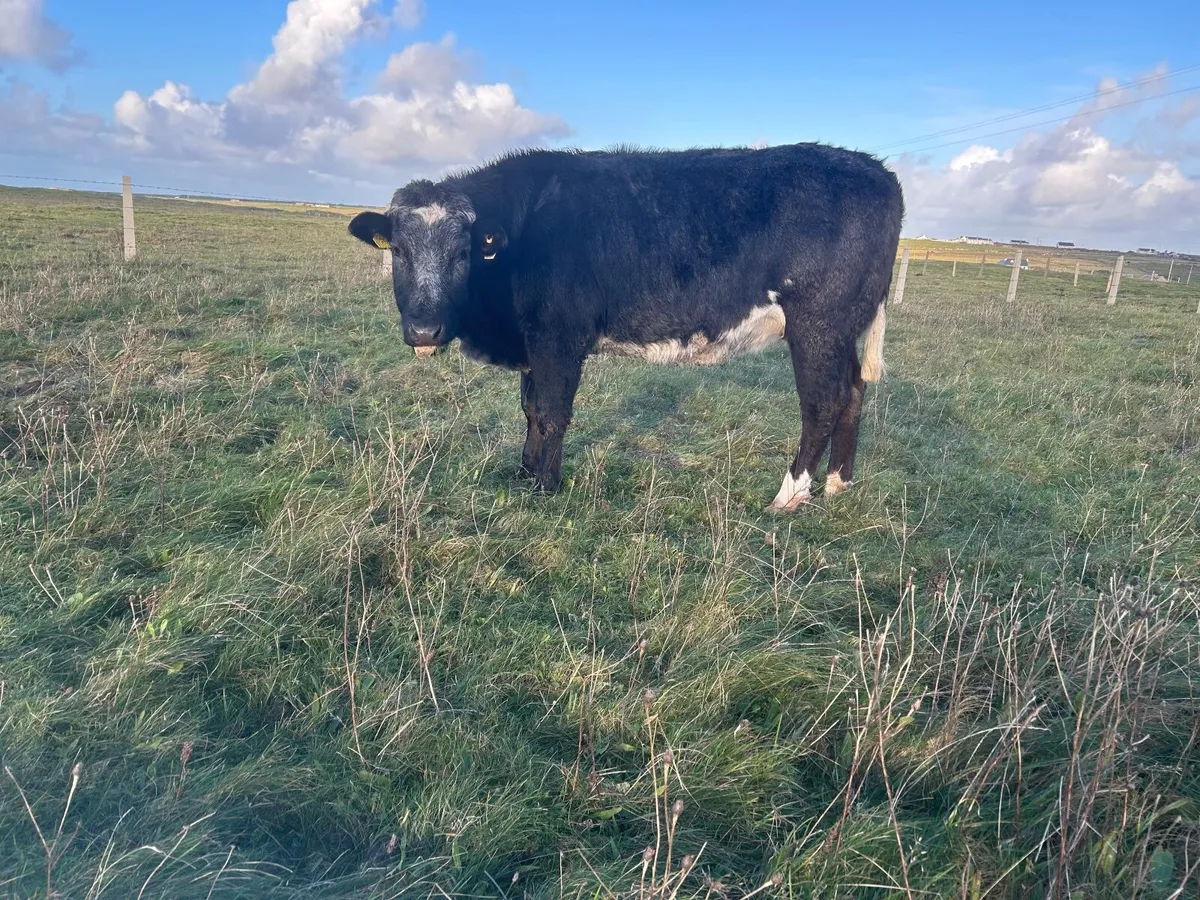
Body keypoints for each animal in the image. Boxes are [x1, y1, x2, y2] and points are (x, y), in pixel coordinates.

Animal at [348, 143, 902, 510]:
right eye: (399, 251)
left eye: (462, 252)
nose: (425, 330)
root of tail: (875, 169)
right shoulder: (534, 341)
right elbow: (530, 409)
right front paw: (525, 472)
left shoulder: (558, 339)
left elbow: (552, 412)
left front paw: (545, 486)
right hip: (840, 331)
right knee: (853, 391)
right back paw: (837, 483)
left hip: (818, 325)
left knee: (823, 403)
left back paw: (789, 496)